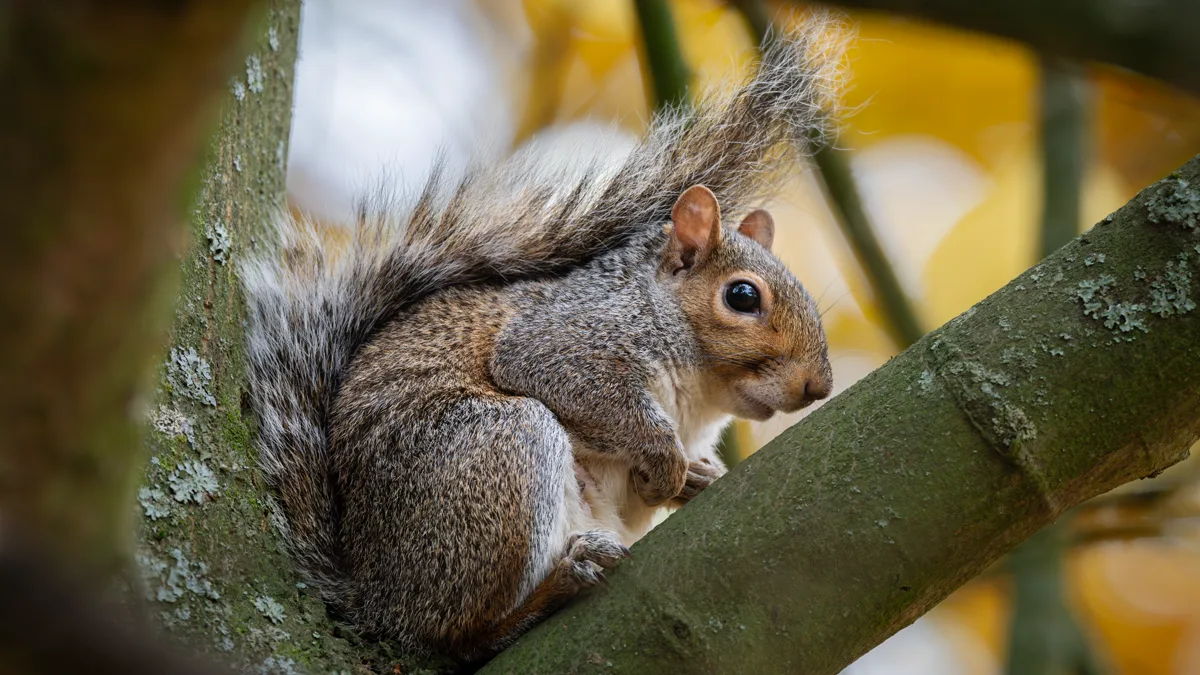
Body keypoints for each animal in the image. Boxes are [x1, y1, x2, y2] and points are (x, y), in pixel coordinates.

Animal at [244, 24, 837, 662]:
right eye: (743, 296)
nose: (819, 385)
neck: (698, 401)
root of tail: (378, 602)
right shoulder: (570, 334)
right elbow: (558, 373)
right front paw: (665, 455)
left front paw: (699, 476)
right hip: (500, 452)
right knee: (461, 636)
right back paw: (554, 589)